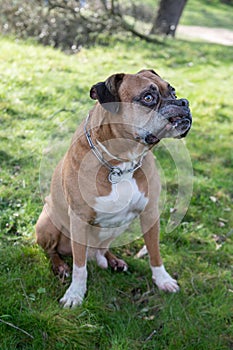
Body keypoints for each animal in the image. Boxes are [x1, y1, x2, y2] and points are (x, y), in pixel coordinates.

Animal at [35, 69, 192, 308]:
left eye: (172, 91)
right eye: (148, 98)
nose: (183, 102)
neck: (122, 164)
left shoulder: (150, 213)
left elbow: (155, 252)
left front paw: (163, 280)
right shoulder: (78, 219)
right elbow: (79, 266)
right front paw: (75, 294)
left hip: (119, 226)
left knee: (102, 249)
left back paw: (113, 260)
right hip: (48, 223)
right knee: (53, 251)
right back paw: (60, 266)